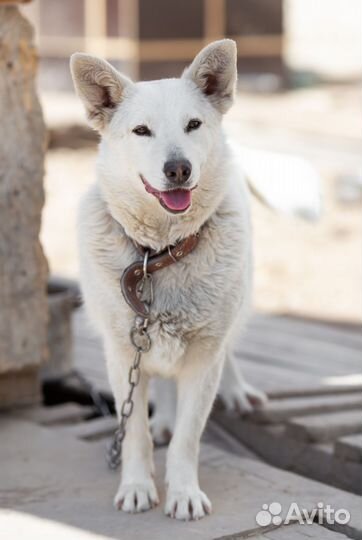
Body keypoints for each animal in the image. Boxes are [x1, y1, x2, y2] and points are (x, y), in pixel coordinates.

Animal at [71, 40, 268, 520]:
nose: (178, 168)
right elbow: (135, 433)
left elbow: (188, 438)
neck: (156, 256)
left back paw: (236, 391)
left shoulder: (203, 357)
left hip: (239, 301)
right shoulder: (123, 353)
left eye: (193, 125)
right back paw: (162, 416)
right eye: (141, 131)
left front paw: (184, 494)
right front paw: (138, 486)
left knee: (229, 349)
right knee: (160, 381)